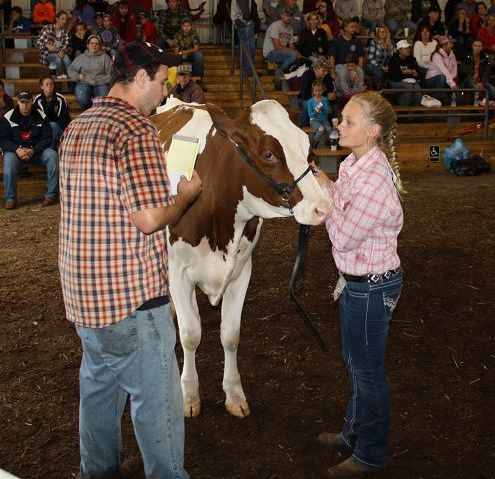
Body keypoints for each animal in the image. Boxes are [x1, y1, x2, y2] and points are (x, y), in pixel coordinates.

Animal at [153, 98, 334, 420]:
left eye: (307, 147)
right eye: (268, 154)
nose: (323, 207)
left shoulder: (242, 270)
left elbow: (231, 334)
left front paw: (234, 394)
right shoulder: (178, 272)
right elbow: (190, 335)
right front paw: (189, 396)